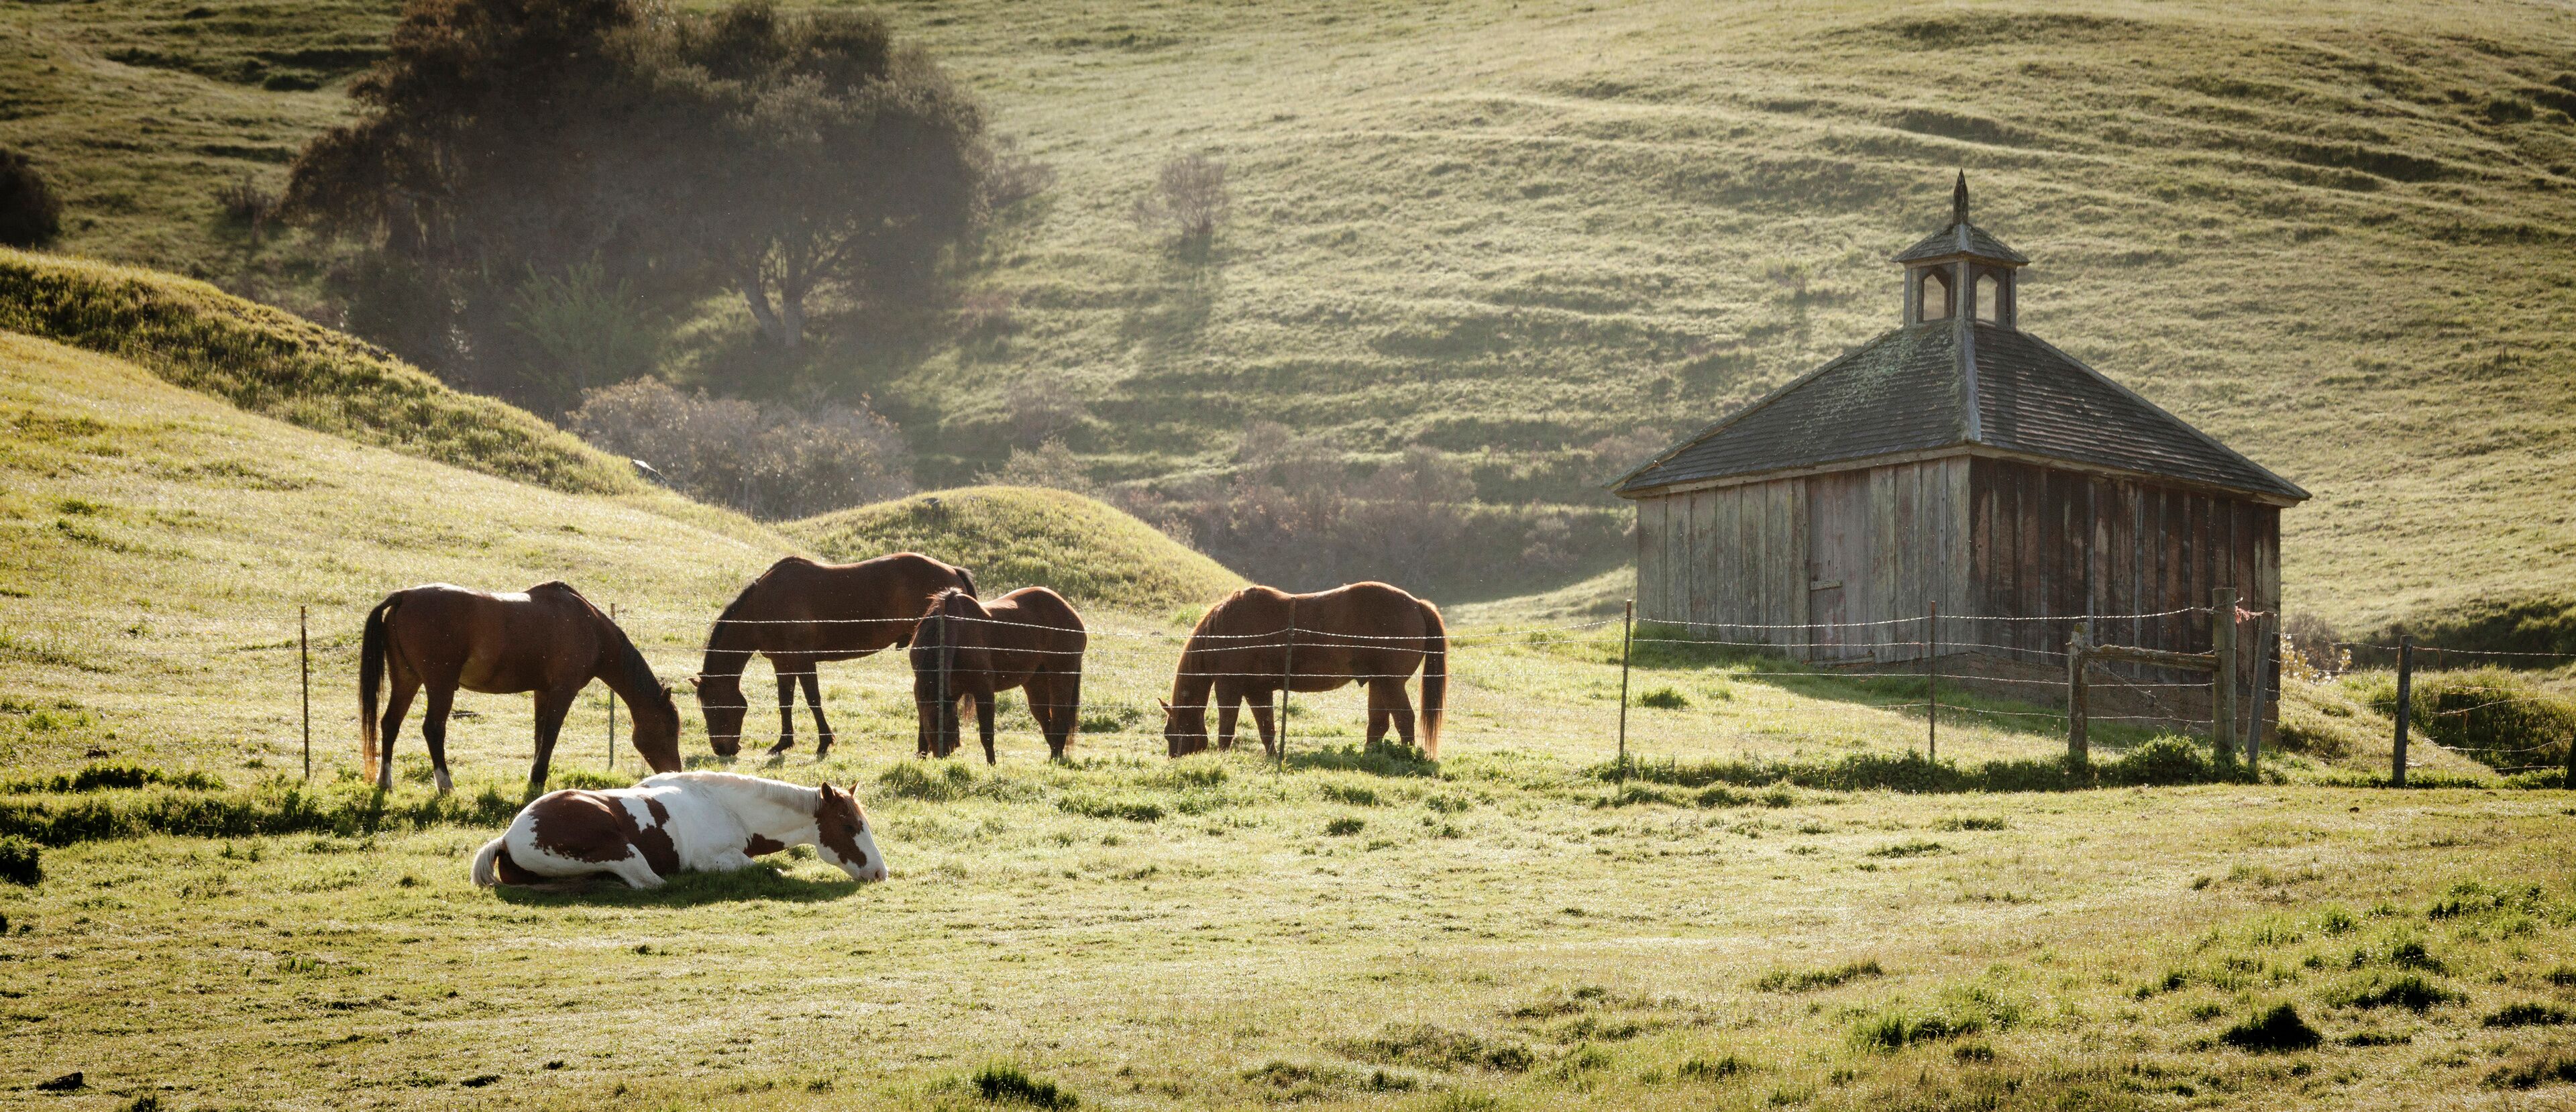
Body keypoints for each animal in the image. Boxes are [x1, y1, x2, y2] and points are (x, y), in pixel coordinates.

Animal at [360, 581, 682, 796]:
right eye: (669, 730)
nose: (676, 771)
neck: (591, 627)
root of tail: (404, 597)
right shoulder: (563, 691)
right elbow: (550, 736)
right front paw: (538, 778)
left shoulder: (543, 692)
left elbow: (539, 736)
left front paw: (534, 777)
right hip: (440, 685)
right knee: (433, 729)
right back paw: (446, 785)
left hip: (406, 680)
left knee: (390, 724)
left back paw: (385, 781)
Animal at [471, 772, 886, 889]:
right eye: (850, 826)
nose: (880, 872)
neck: (726, 808)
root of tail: (507, 839)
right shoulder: (715, 860)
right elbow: (769, 870)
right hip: (625, 853)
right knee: (648, 883)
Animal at [690, 554, 976, 760]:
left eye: (712, 708)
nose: (722, 750)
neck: (766, 605)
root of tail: (952, 571)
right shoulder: (782, 662)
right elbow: (785, 702)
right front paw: (783, 743)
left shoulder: (803, 660)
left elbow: (813, 700)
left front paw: (824, 742)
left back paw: (924, 748)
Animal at [909, 587, 1087, 763]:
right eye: (933, 728)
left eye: (949, 728)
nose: (943, 754)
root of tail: (1071, 613)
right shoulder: (932, 692)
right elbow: (921, 734)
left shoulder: (984, 690)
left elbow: (987, 734)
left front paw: (992, 765)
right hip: (1036, 683)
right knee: (1046, 722)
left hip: (1061, 677)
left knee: (1060, 721)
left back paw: (1056, 760)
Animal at [1161, 582, 1446, 759]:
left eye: (1169, 733)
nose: (1174, 757)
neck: (1227, 631)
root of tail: (1417, 604)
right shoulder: (1258, 691)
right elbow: (1266, 727)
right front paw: (1272, 757)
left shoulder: (1229, 687)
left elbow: (1227, 727)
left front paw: (1222, 757)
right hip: (1379, 684)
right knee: (1378, 724)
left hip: (1390, 683)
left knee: (1404, 720)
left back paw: (1405, 756)